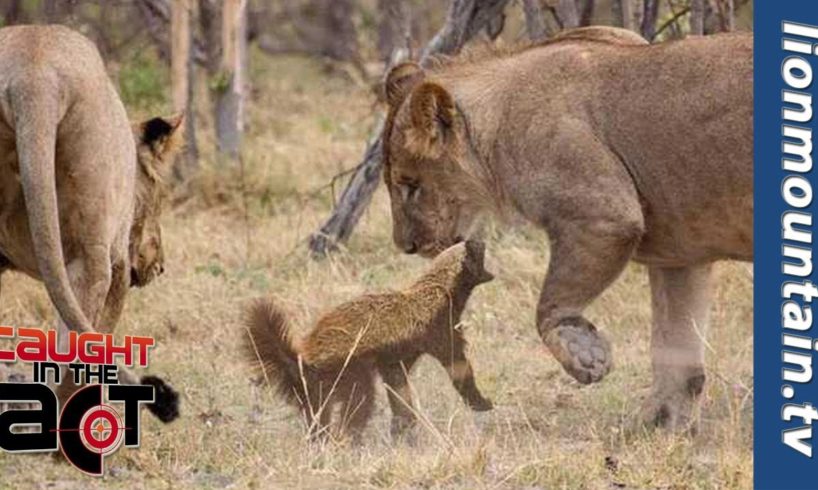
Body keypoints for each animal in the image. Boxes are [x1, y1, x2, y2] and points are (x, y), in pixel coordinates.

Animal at [242, 241, 490, 440]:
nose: (481, 239)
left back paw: (320, 440)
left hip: (317, 390)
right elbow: (458, 367)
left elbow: (398, 388)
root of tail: (302, 360)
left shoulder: (396, 358)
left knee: (318, 415)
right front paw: (482, 403)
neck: (438, 289)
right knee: (359, 402)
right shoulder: (439, 329)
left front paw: (402, 427)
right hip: (348, 371)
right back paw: (348, 440)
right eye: (476, 249)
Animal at [380, 26, 748, 428]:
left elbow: (548, 306)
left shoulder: (603, 215)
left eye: (409, 184)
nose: (406, 245)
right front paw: (658, 426)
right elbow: (676, 350)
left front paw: (585, 354)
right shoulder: (679, 254)